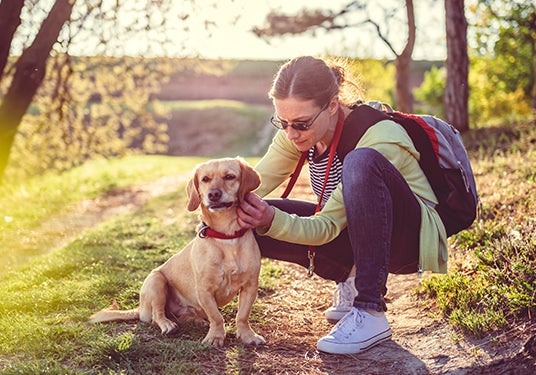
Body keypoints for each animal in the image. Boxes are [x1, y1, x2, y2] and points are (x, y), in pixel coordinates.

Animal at [90, 157, 266, 348]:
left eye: (229, 176)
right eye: (205, 179)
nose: (213, 194)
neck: (226, 237)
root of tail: (141, 308)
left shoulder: (250, 286)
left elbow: (242, 315)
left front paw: (247, 335)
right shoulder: (204, 290)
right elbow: (216, 317)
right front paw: (215, 336)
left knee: (184, 317)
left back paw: (196, 321)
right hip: (156, 281)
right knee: (157, 315)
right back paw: (167, 324)